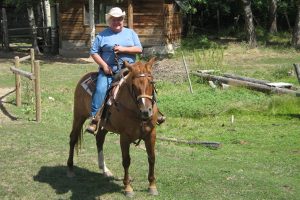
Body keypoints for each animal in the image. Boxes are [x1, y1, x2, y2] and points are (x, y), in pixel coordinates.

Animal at [66, 57, 158, 196]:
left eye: (151, 82)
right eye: (133, 85)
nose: (146, 111)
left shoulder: (151, 134)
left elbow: (151, 157)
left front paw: (152, 186)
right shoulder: (124, 137)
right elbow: (126, 161)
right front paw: (128, 187)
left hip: (103, 126)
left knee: (99, 140)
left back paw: (105, 170)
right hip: (79, 116)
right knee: (73, 138)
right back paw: (70, 169)